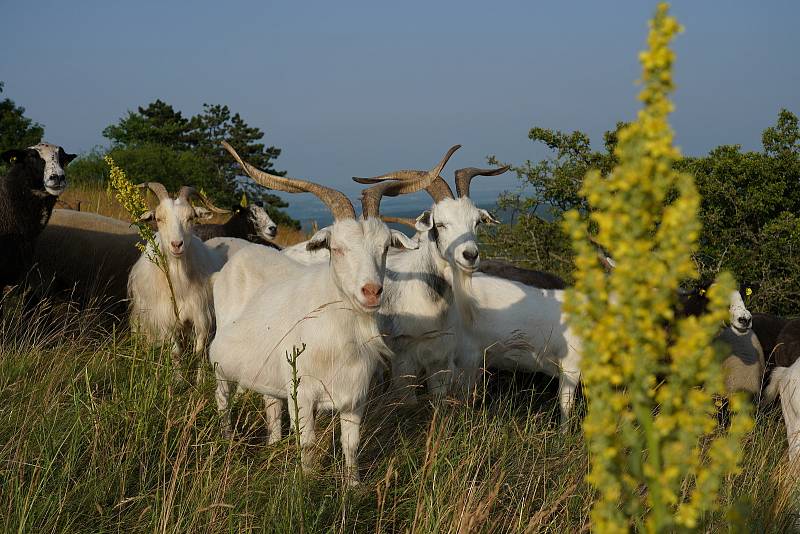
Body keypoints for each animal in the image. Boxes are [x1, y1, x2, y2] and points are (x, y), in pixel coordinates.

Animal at [126, 184, 230, 376]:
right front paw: (178, 379)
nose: (176, 245)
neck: (179, 281)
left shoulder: (201, 314)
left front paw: (199, 380)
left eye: (190, 218)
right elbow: (175, 353)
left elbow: (199, 351)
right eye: (159, 218)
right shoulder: (166, 320)